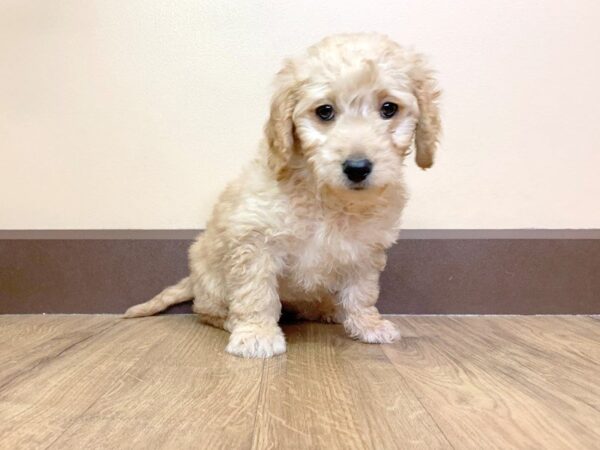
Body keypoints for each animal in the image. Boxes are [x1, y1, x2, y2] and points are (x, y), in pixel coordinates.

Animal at [124, 32, 440, 358]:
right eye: (325, 111)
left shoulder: (365, 248)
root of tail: (194, 280)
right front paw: (256, 334)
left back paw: (328, 310)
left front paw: (367, 325)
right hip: (211, 281)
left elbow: (361, 292)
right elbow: (256, 293)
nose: (357, 167)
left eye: (389, 109)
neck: (326, 195)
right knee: (206, 310)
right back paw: (229, 320)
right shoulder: (254, 241)